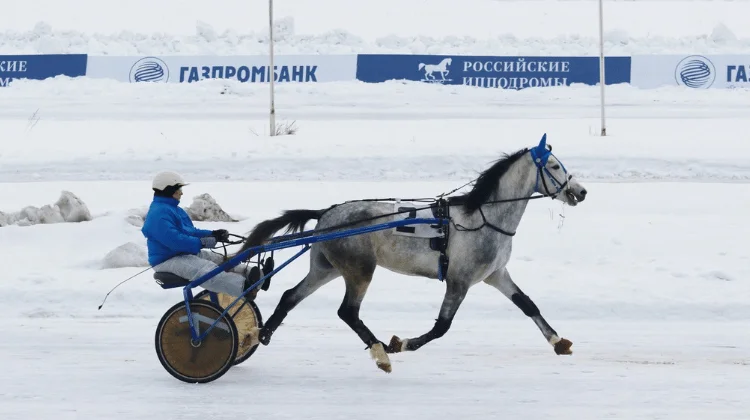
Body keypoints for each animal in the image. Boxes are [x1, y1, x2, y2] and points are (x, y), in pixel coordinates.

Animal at [238, 134, 592, 370]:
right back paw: (380, 351)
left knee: (290, 296)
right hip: (359, 269)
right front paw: (401, 344)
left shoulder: (495, 274)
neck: (482, 218)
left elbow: (527, 304)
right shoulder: (459, 279)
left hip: (327, 267)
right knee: (348, 312)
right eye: (554, 166)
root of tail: (327, 212)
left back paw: (261, 334)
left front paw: (558, 341)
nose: (581, 191)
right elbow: (441, 327)